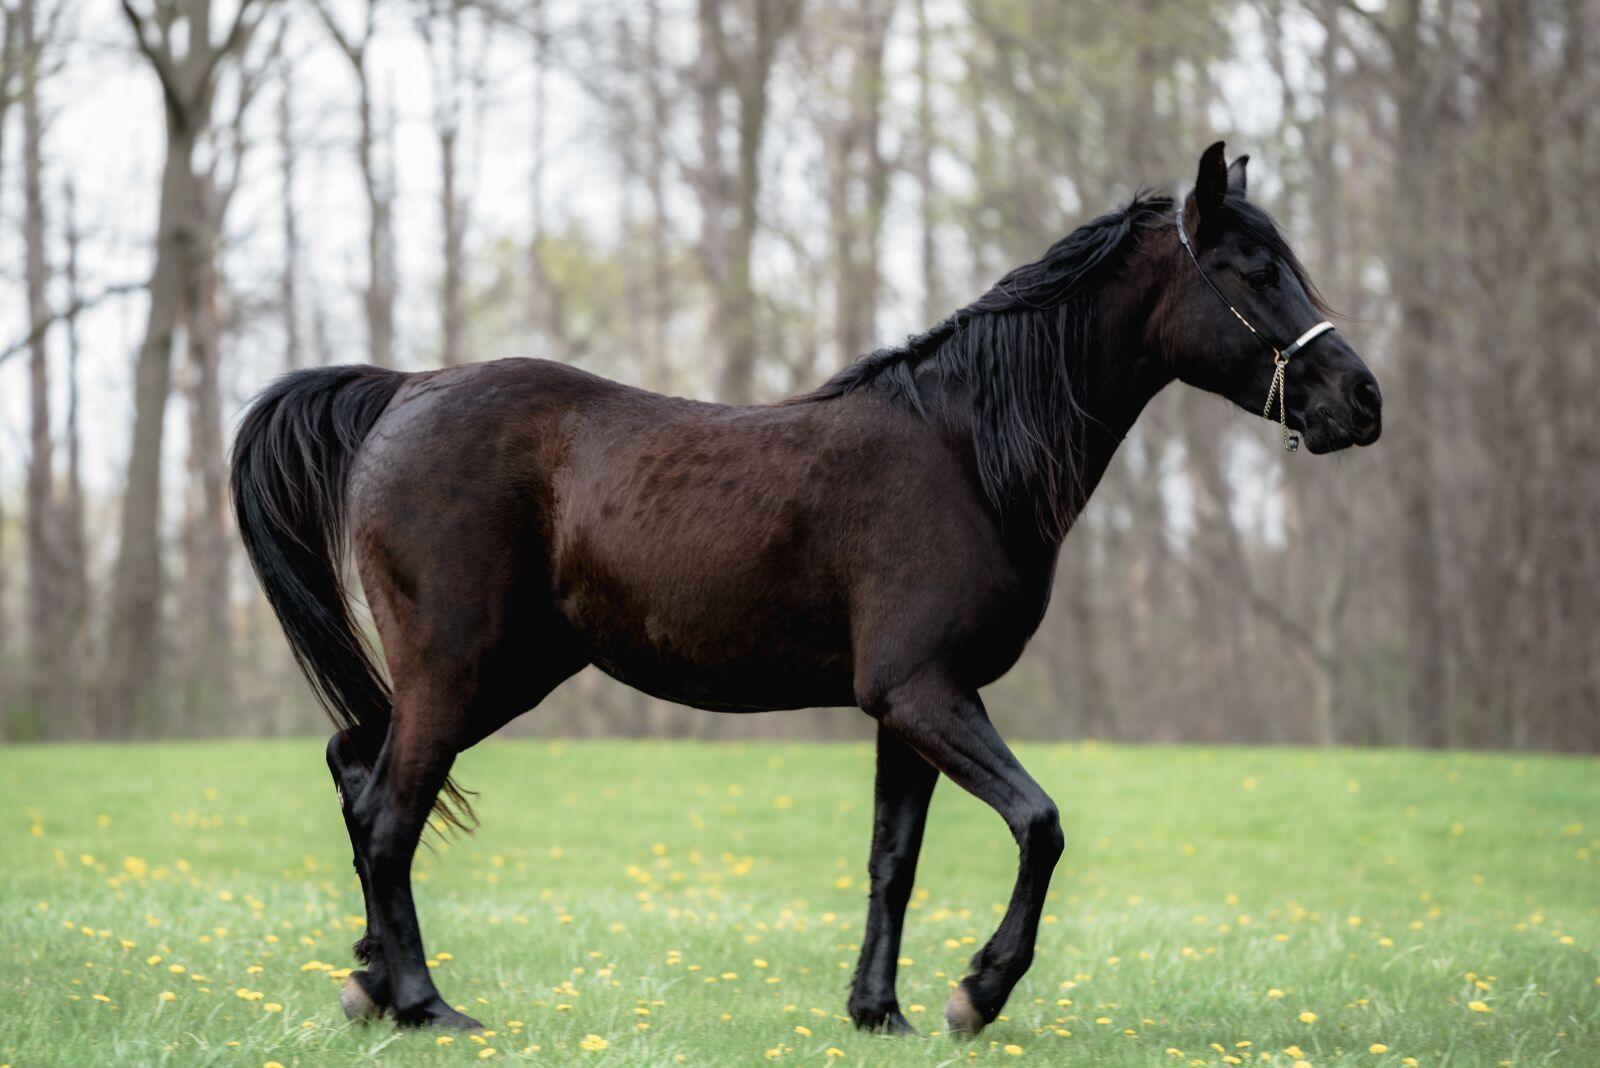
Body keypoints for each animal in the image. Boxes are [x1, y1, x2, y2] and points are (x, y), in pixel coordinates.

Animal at [230, 143, 1381, 1035]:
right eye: (1252, 269)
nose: (1362, 400)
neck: (966, 453)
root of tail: (404, 391)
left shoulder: (910, 707)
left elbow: (893, 860)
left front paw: (880, 1011)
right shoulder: (924, 693)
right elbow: (1041, 824)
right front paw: (978, 993)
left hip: (506, 673)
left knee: (355, 771)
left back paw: (372, 984)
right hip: (459, 667)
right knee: (389, 813)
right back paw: (427, 1006)